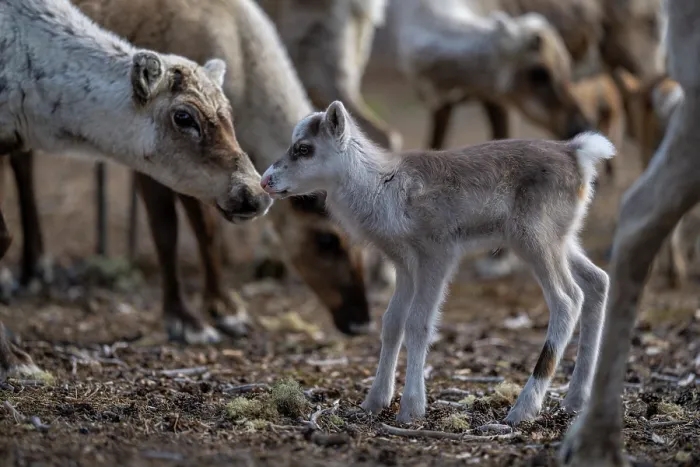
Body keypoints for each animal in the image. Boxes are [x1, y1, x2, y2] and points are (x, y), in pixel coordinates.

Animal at [261, 100, 613, 425]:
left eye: (304, 148)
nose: (265, 181)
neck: (382, 187)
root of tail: (577, 154)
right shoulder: (404, 264)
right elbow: (392, 323)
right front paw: (374, 401)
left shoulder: (438, 254)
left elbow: (418, 323)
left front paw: (411, 409)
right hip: (561, 239)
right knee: (597, 281)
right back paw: (575, 400)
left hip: (536, 240)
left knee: (567, 300)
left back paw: (523, 409)